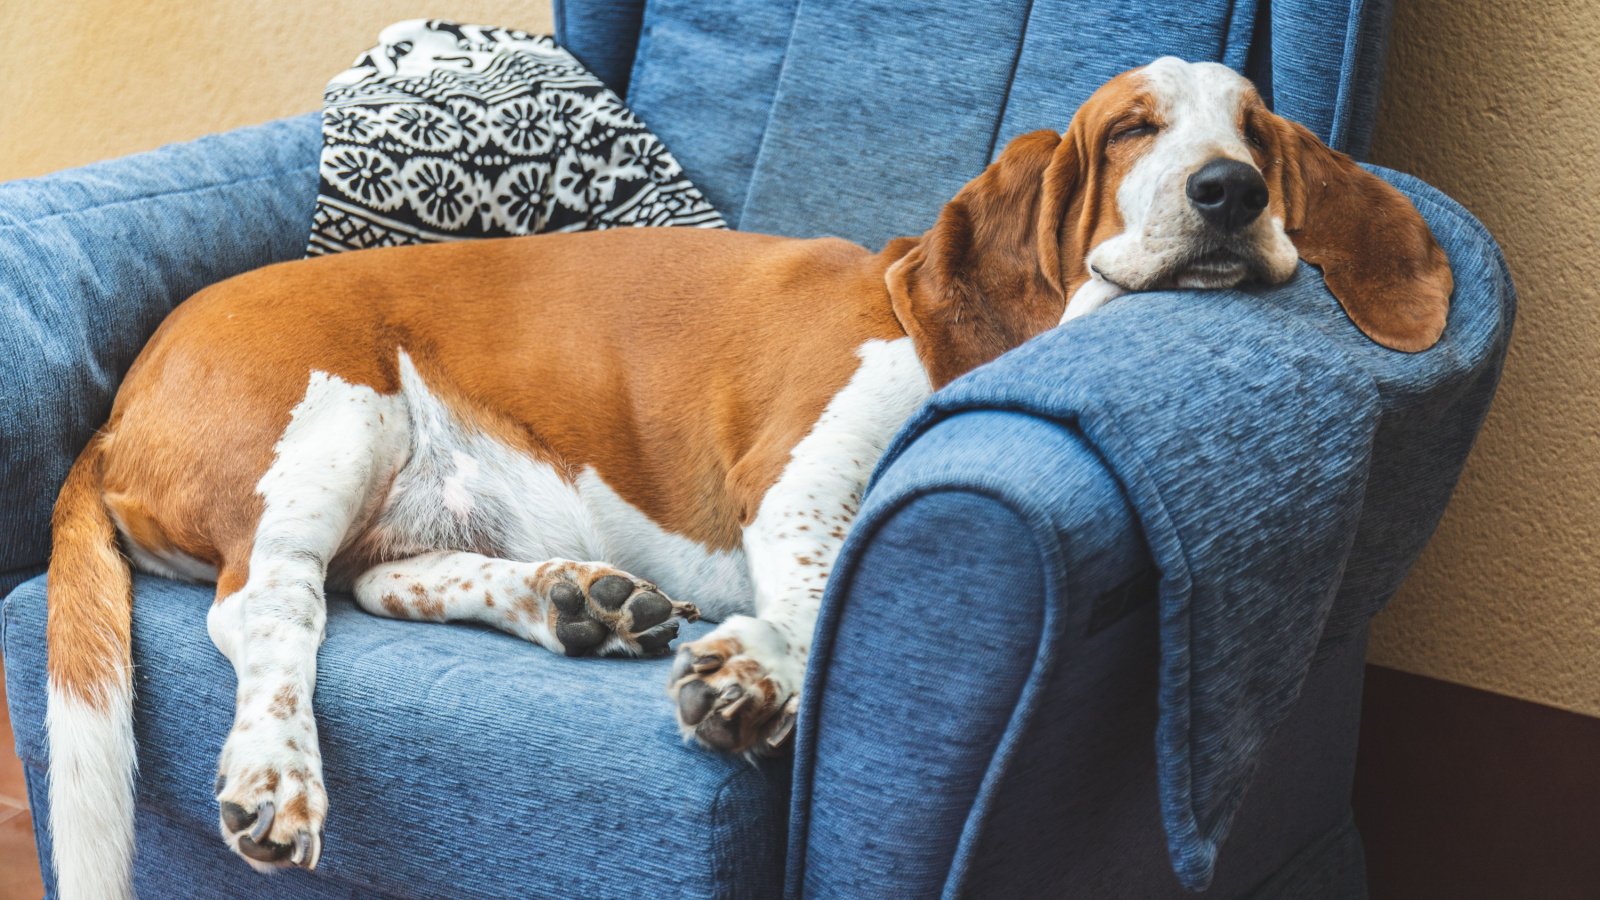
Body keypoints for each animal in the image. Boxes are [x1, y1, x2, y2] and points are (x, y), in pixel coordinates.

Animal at [40, 59, 1452, 890]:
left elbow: (812, 610)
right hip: (333, 428)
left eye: (1258, 133)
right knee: (269, 611)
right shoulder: (803, 496)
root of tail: (115, 413)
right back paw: (275, 775)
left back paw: (575, 599)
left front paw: (748, 675)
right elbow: (821, 597)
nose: (1229, 192)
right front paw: (756, 677)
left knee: (375, 588)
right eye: (1130, 133)